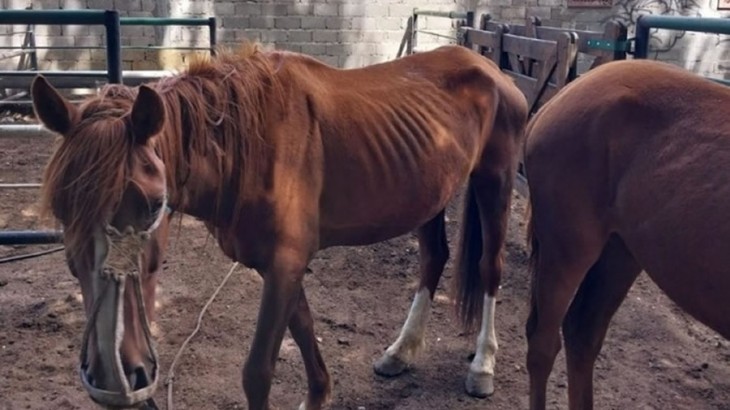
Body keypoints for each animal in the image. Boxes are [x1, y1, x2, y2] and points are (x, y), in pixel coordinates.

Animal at [31, 43, 528, 409]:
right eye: (61, 210)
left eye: (155, 204)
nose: (115, 374)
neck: (249, 144)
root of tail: (491, 68)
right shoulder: (277, 266)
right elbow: (304, 330)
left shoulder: (286, 263)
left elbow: (258, 372)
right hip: (429, 196)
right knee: (433, 259)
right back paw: (401, 351)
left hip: (495, 180)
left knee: (490, 267)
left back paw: (482, 366)